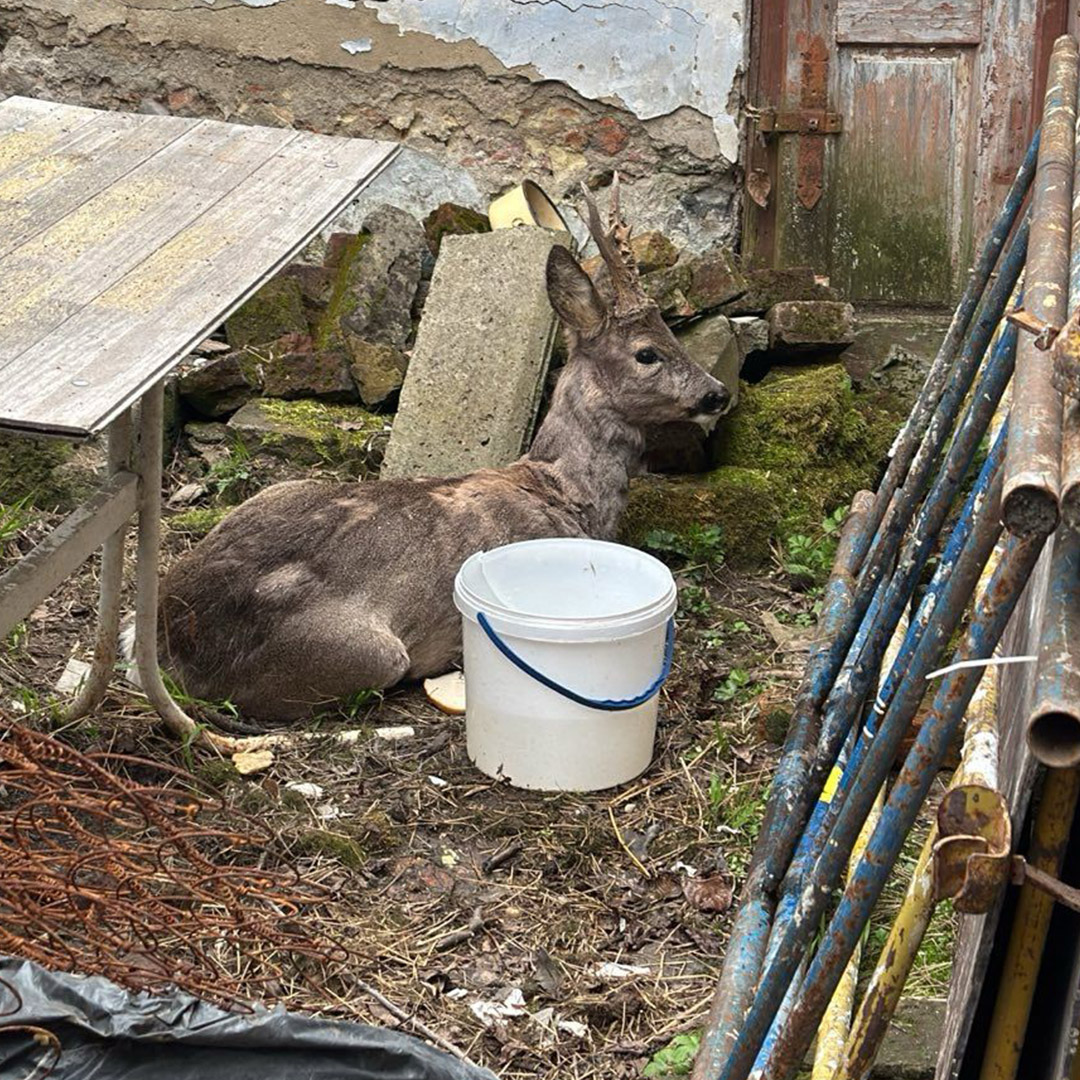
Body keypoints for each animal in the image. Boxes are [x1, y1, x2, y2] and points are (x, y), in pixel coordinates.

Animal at [150, 180, 731, 723]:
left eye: (674, 336)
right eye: (647, 353)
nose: (717, 393)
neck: (567, 494)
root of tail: (171, 634)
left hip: (278, 491)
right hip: (364, 654)